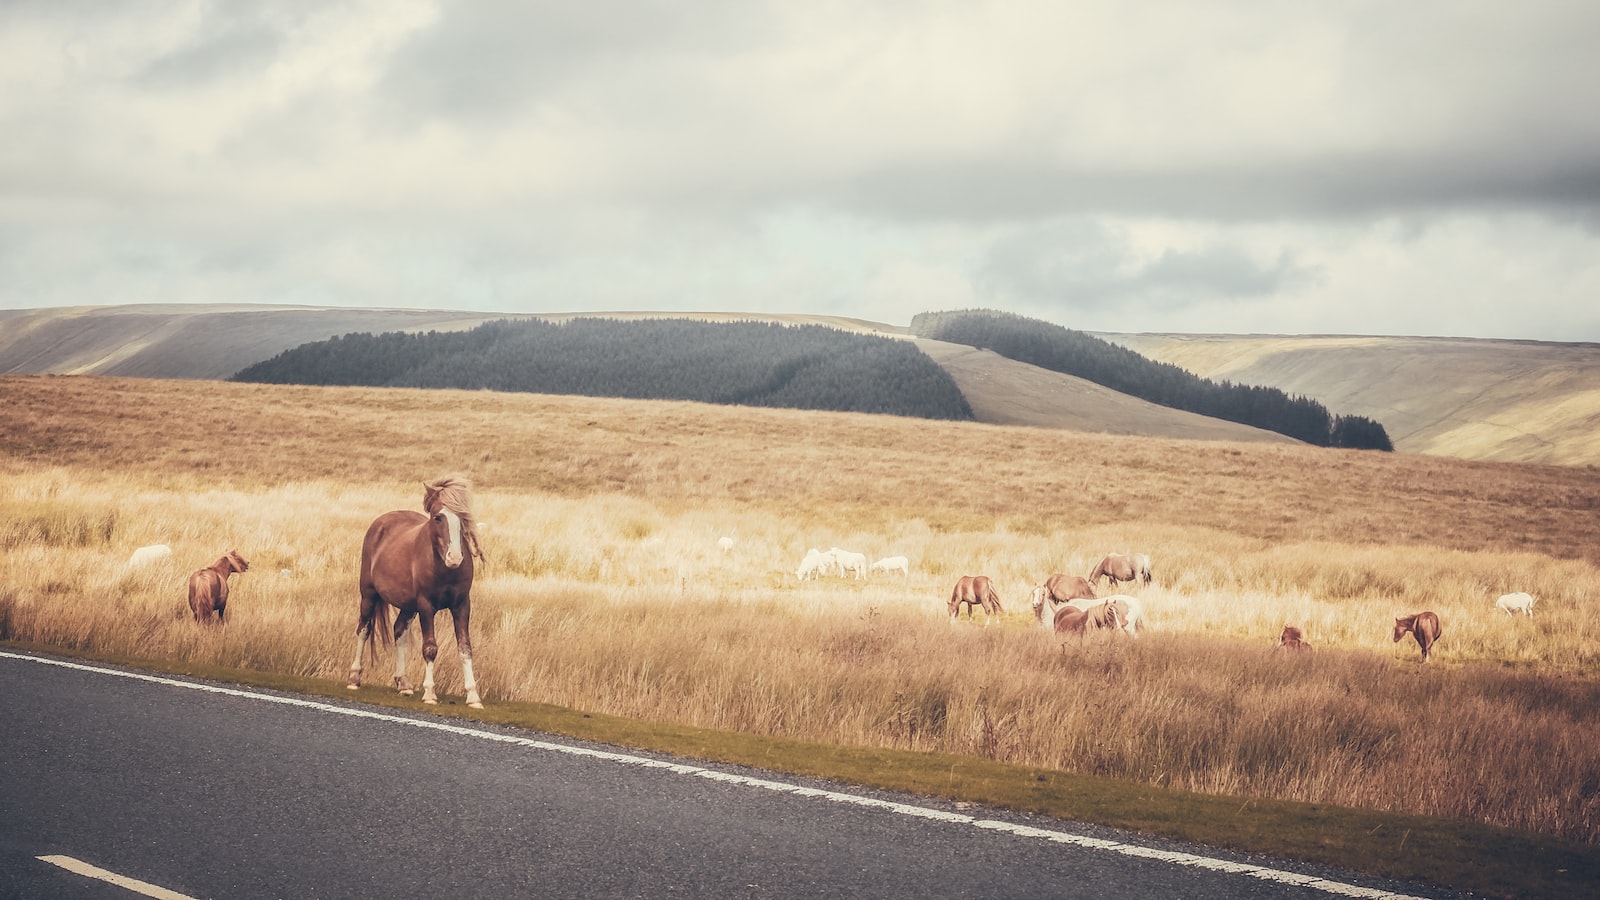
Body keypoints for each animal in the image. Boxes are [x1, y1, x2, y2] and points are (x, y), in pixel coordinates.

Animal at [344, 474, 480, 704]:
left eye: (463, 517)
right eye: (438, 517)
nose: (454, 558)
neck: (444, 570)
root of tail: (381, 522)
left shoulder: (462, 605)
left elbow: (465, 648)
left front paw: (473, 695)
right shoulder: (426, 606)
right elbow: (430, 648)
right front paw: (430, 693)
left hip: (408, 606)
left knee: (399, 631)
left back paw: (404, 683)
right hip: (368, 595)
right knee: (364, 629)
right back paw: (354, 678)